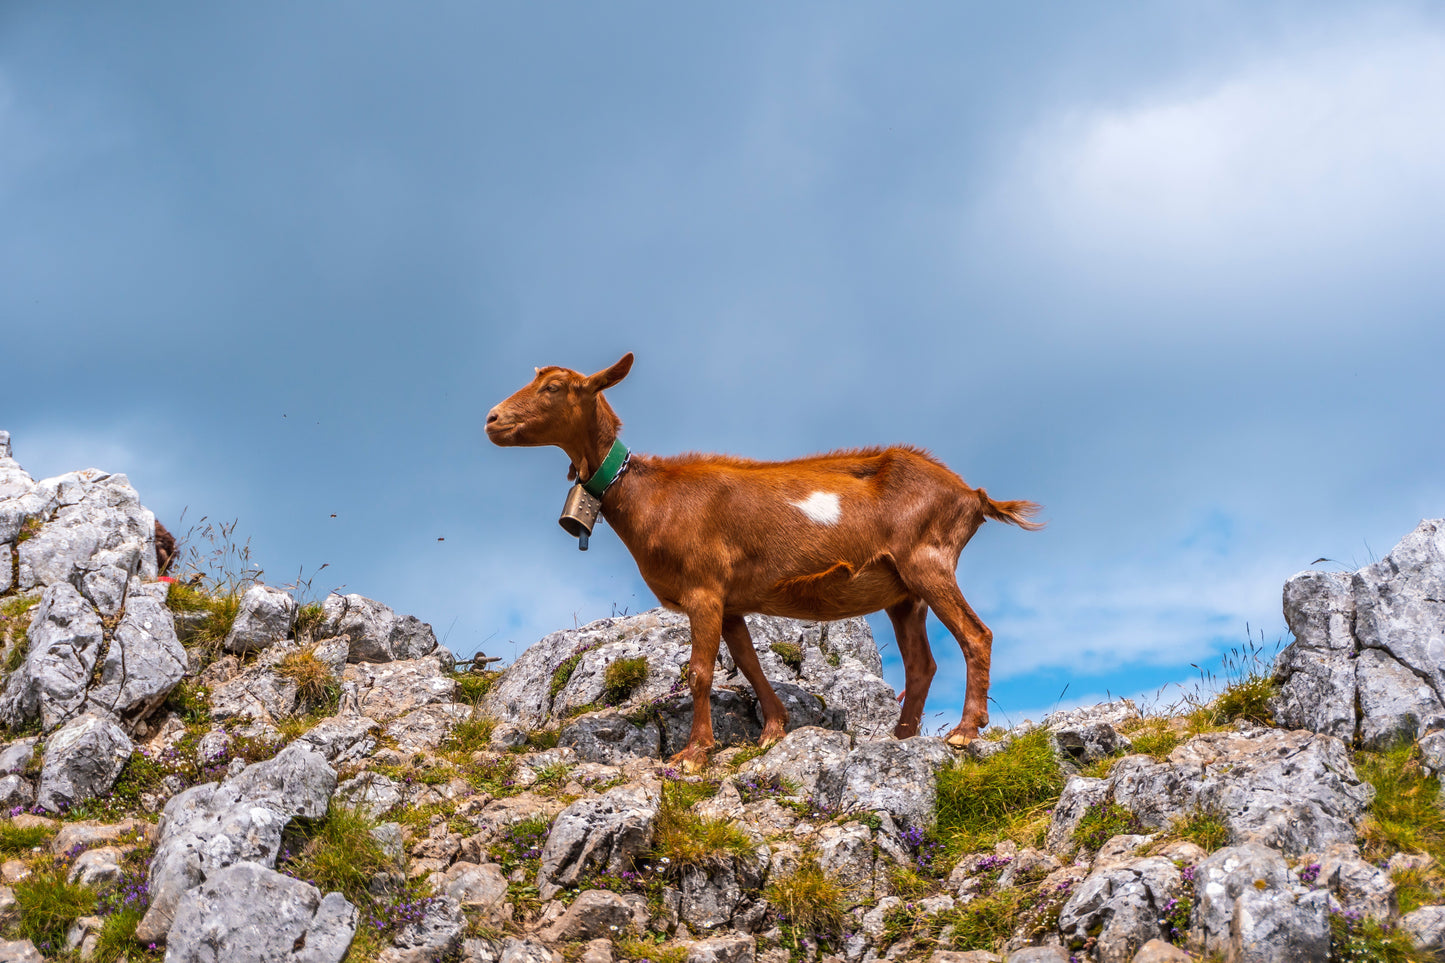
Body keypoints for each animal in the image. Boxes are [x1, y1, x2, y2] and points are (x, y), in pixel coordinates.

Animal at [486, 353, 1042, 769]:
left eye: (555, 386)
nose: (492, 419)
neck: (652, 497)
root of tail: (970, 494)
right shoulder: (730, 601)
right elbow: (750, 664)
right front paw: (774, 730)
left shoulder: (704, 590)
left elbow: (700, 672)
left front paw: (693, 754)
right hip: (903, 591)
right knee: (921, 663)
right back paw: (901, 737)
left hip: (929, 560)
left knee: (976, 635)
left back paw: (965, 732)